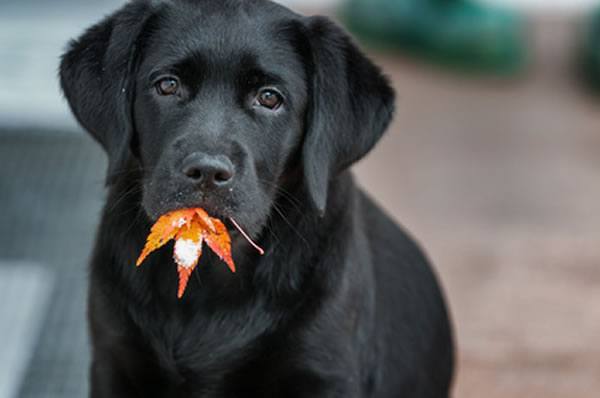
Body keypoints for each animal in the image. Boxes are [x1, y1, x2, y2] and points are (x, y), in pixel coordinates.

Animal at [61, 0, 454, 394]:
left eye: (269, 98)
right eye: (168, 86)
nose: (207, 171)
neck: (208, 265)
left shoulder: (323, 372)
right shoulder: (114, 359)